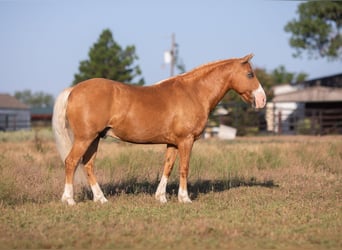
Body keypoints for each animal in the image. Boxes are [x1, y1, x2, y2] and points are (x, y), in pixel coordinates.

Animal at [52, 54, 268, 205]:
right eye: (250, 74)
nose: (262, 99)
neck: (194, 92)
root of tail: (73, 90)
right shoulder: (186, 140)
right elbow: (184, 167)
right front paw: (184, 198)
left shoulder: (172, 143)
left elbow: (168, 167)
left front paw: (161, 197)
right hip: (85, 138)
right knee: (71, 162)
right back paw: (69, 200)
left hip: (95, 138)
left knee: (88, 165)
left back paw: (101, 199)